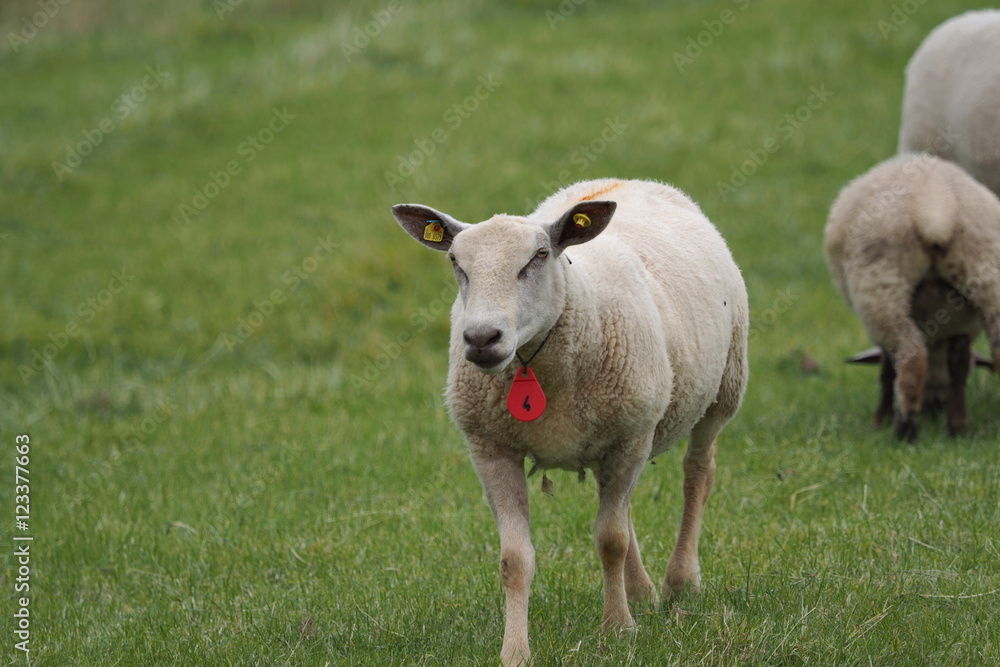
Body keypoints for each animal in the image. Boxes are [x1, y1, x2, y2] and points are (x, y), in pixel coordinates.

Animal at [392, 178, 748, 666]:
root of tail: (629, 181)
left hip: (721, 389)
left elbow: (610, 541)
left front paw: (618, 629)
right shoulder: (491, 449)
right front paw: (515, 650)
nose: (482, 338)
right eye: (455, 263)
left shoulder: (631, 438)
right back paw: (640, 590)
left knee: (697, 473)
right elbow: (515, 559)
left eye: (540, 255)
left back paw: (680, 581)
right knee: (620, 501)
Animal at [824, 153, 1000, 442]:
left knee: (911, 356)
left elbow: (886, 371)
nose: (935, 407)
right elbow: (959, 368)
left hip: (882, 286)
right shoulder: (963, 329)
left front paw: (879, 420)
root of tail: (935, 206)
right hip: (987, 273)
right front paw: (958, 427)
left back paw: (904, 430)